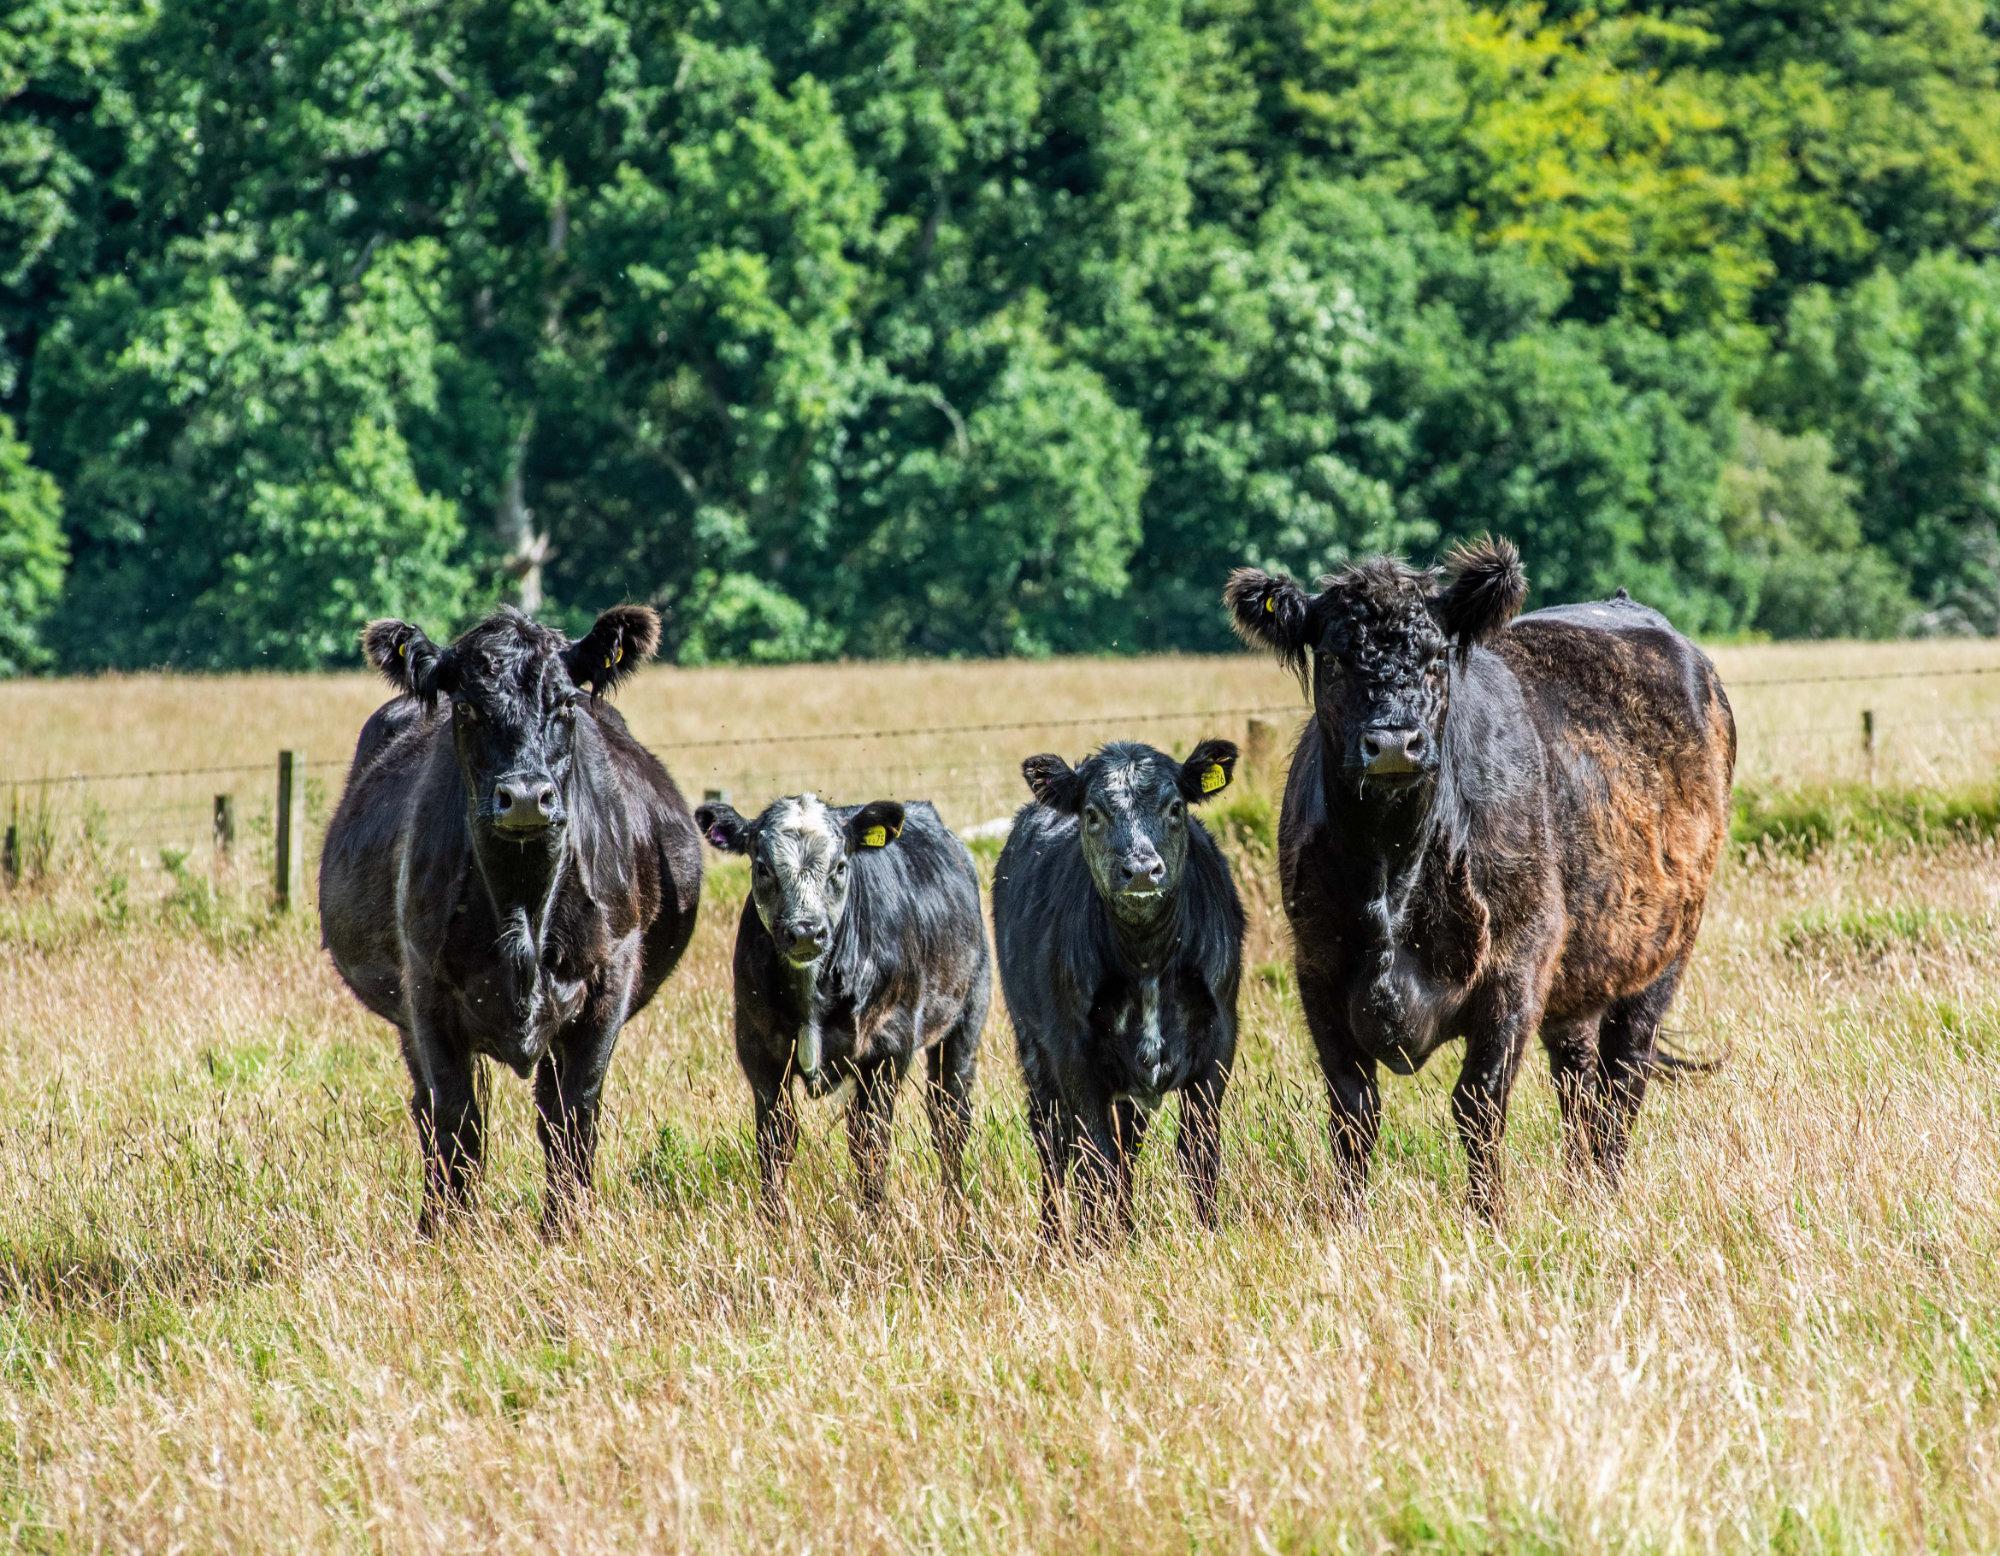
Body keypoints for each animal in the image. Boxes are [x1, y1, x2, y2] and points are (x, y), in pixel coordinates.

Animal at [320, 600, 704, 1232]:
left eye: (566, 703)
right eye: (468, 706)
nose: (525, 797)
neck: (522, 903)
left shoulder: (609, 979)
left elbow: (576, 1113)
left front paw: (566, 1228)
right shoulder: (425, 991)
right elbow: (456, 1118)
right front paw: (449, 1232)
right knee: (429, 1110)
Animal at [696, 788, 992, 1216]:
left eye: (839, 866)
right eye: (763, 866)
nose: (805, 931)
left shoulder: (887, 1048)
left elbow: (870, 1143)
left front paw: (876, 1219)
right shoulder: (759, 1050)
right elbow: (776, 1141)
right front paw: (773, 1221)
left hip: (966, 1019)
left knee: (950, 1118)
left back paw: (955, 1208)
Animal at [1000, 740, 1248, 1240]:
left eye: (1175, 807)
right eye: (1092, 813)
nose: (1141, 871)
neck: (1147, 957)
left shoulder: (1219, 1041)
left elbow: (1199, 1150)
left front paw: (1209, 1234)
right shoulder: (1072, 1052)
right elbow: (1095, 1158)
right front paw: (1098, 1246)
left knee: (1124, 1146)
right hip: (1034, 1053)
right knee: (1054, 1146)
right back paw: (1055, 1238)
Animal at [1216, 540, 1736, 1216]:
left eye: (1437, 657)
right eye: (1331, 659)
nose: (1393, 744)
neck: (1393, 869)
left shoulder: (1518, 962)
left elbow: (1478, 1101)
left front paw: (1486, 1217)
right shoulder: (1318, 968)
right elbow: (1353, 1108)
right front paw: (1347, 1220)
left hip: (1665, 949)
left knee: (1624, 1074)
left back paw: (1605, 1191)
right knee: (1578, 1077)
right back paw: (1580, 1192)